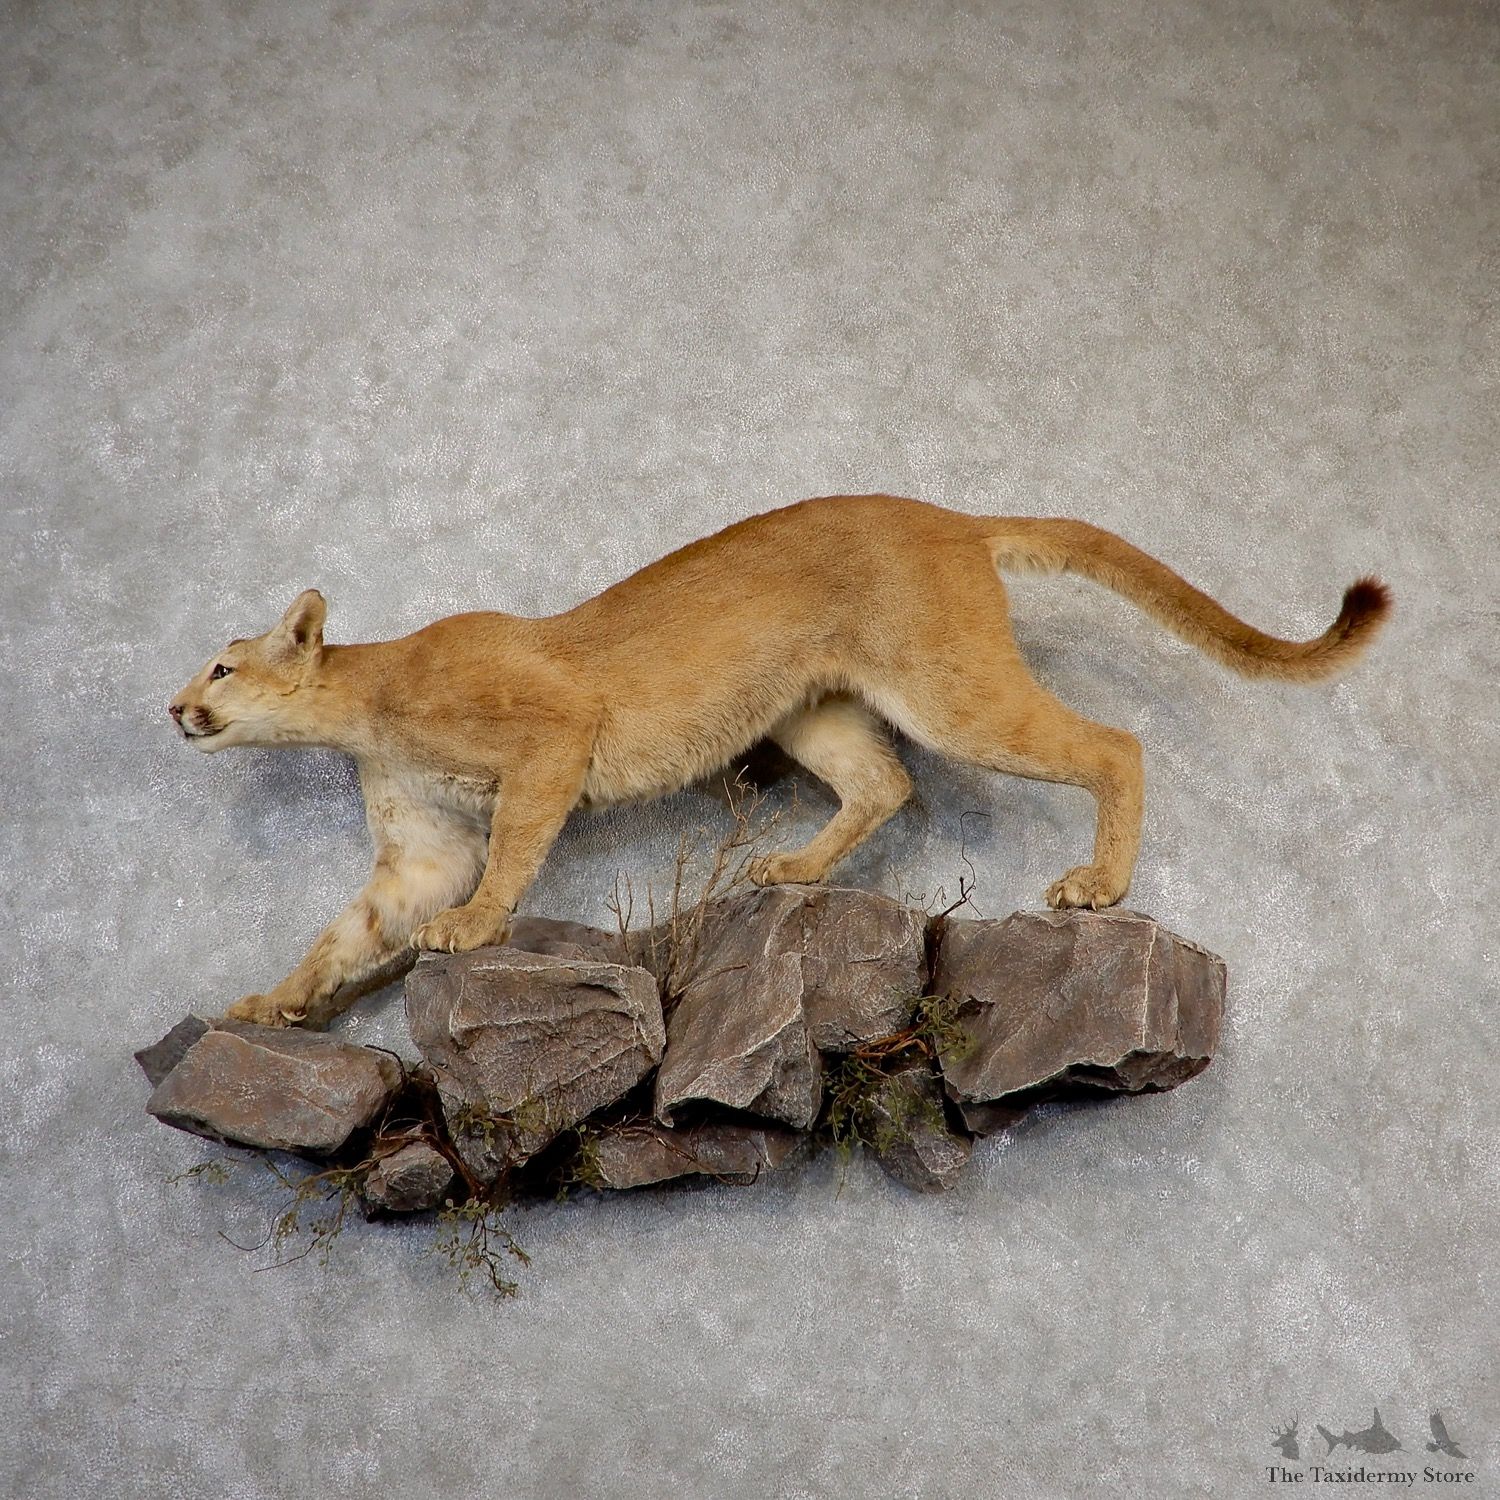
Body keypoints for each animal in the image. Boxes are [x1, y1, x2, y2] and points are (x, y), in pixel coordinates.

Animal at [168, 493, 1389, 1027]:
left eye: (223, 665)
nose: (175, 707)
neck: (365, 710)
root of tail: (947, 513)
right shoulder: (417, 844)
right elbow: (346, 933)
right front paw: (266, 1003)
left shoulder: (553, 735)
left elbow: (512, 849)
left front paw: (470, 932)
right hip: (814, 712)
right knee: (886, 781)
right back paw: (795, 871)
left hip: (949, 689)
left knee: (1112, 741)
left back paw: (1099, 886)